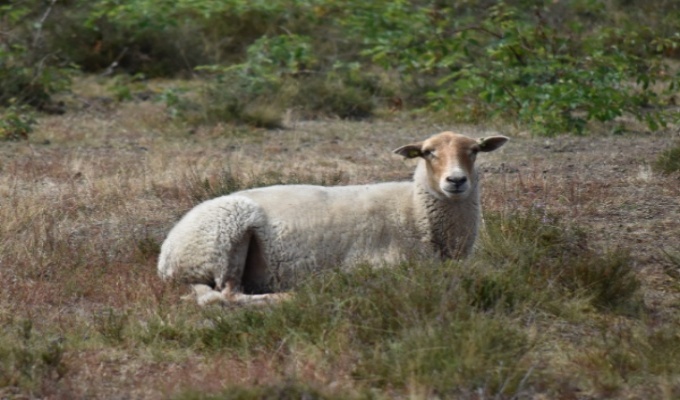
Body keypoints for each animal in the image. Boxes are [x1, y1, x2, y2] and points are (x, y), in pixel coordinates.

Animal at [157, 132, 508, 306]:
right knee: (227, 294)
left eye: (475, 150)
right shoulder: (379, 264)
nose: (456, 181)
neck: (415, 210)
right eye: (428, 153)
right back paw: (291, 297)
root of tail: (166, 256)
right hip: (225, 237)